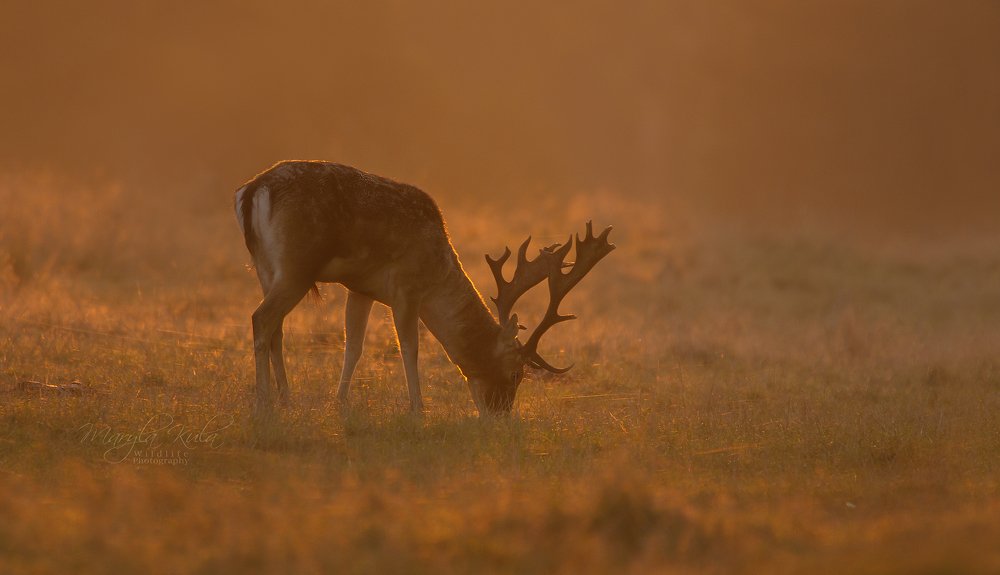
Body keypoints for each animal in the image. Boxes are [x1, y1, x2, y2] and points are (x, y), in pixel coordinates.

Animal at [235, 160, 614, 417]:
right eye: (515, 373)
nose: (501, 416)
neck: (438, 272)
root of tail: (252, 191)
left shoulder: (360, 288)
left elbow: (353, 346)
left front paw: (340, 403)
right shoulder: (406, 287)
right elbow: (409, 348)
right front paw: (418, 409)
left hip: (267, 267)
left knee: (277, 329)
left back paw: (286, 398)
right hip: (296, 266)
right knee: (261, 319)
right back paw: (263, 403)